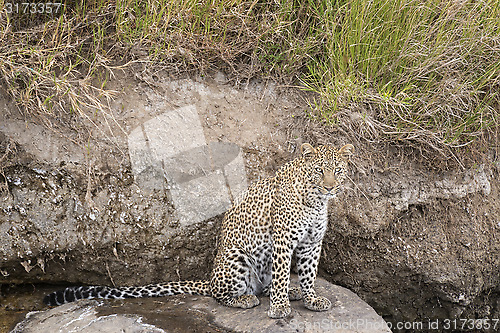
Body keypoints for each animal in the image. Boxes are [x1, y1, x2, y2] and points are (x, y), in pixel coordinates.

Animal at [45, 141, 354, 318]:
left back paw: (292, 291)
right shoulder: (283, 241)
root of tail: (209, 278)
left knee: (265, 285)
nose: (330, 188)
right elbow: (280, 278)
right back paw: (246, 299)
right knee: (222, 295)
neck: (316, 201)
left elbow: (309, 274)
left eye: (338, 171)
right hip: (236, 258)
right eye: (319, 170)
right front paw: (279, 309)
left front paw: (311, 299)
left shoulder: (312, 243)